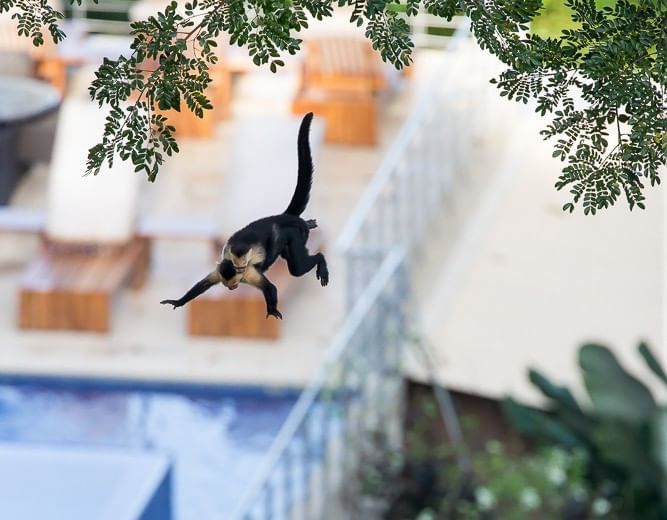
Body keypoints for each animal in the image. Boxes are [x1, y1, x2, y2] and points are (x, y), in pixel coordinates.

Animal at [162, 111, 328, 318]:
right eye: (228, 284)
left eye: (233, 283)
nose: (231, 288)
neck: (238, 271)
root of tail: (283, 217)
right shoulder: (219, 271)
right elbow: (202, 285)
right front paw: (178, 301)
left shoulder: (249, 273)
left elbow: (270, 288)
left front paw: (272, 311)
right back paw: (309, 224)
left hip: (295, 235)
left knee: (296, 266)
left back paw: (319, 257)